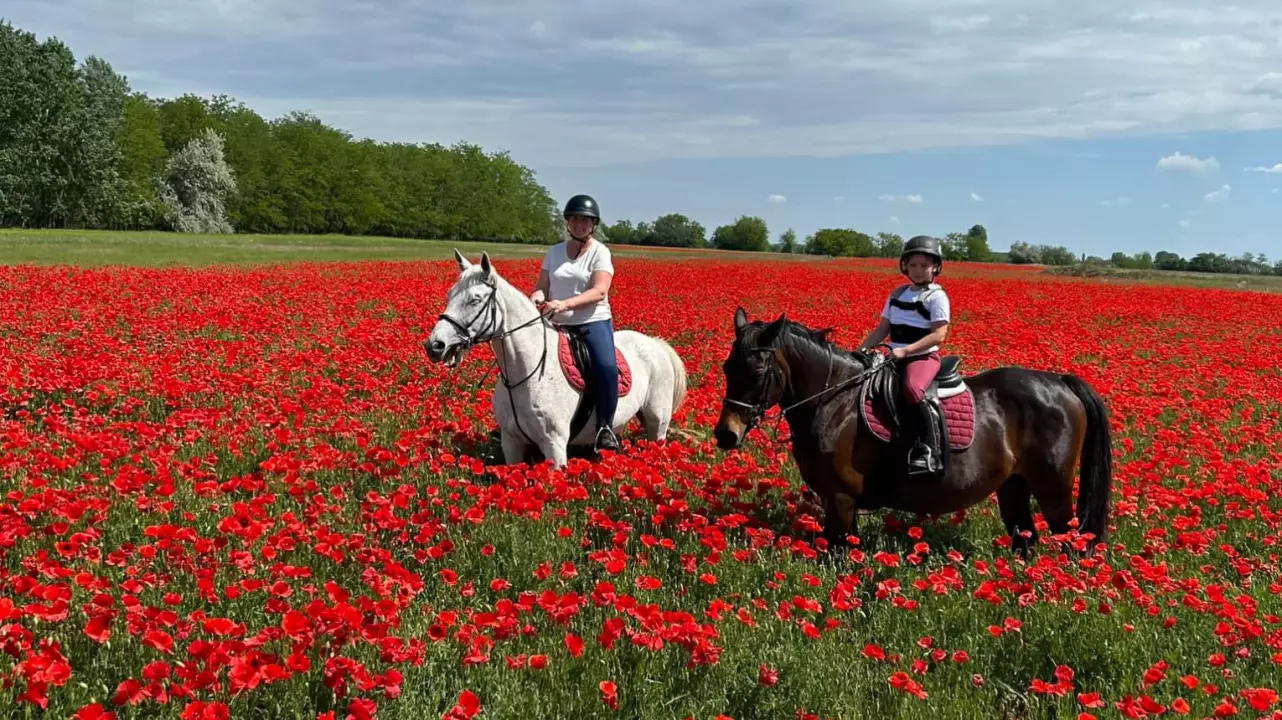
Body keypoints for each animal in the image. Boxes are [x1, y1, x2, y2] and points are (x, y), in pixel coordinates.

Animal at [423, 249, 687, 468]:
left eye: (475, 299)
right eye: (449, 294)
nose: (434, 345)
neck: (523, 374)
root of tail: (655, 343)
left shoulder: (555, 445)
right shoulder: (511, 442)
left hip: (657, 423)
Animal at [712, 304, 1112, 550]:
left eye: (757, 371)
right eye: (727, 368)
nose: (725, 434)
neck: (834, 403)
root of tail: (1059, 381)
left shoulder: (839, 498)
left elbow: (836, 554)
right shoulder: (842, 500)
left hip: (1053, 488)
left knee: (1070, 543)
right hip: (1013, 484)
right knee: (1024, 538)